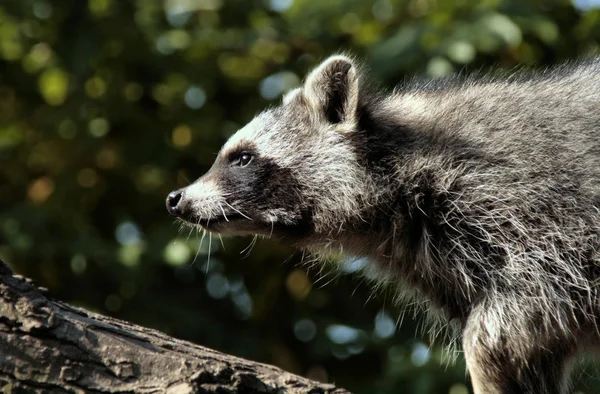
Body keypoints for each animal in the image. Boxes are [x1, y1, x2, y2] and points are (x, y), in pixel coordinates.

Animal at [166, 55, 600, 394]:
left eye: (242, 158)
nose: (175, 198)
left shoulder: (539, 208)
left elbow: (525, 302)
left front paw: (486, 356)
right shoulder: (438, 261)